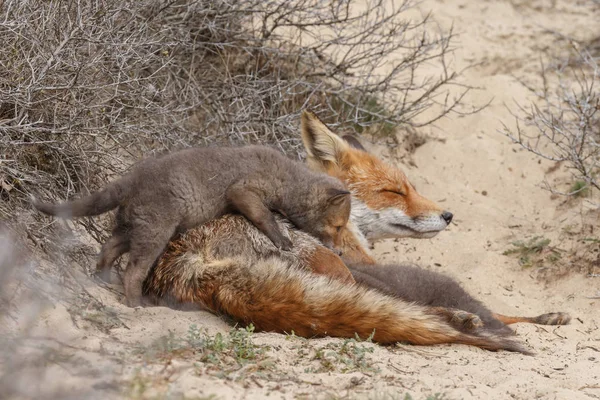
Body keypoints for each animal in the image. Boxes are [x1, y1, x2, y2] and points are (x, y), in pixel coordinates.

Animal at [143, 111, 568, 352]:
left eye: (411, 187)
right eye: (394, 192)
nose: (447, 215)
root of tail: (191, 266)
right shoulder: (361, 265)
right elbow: (504, 312)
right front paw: (542, 317)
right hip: (332, 267)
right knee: (407, 308)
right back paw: (461, 319)